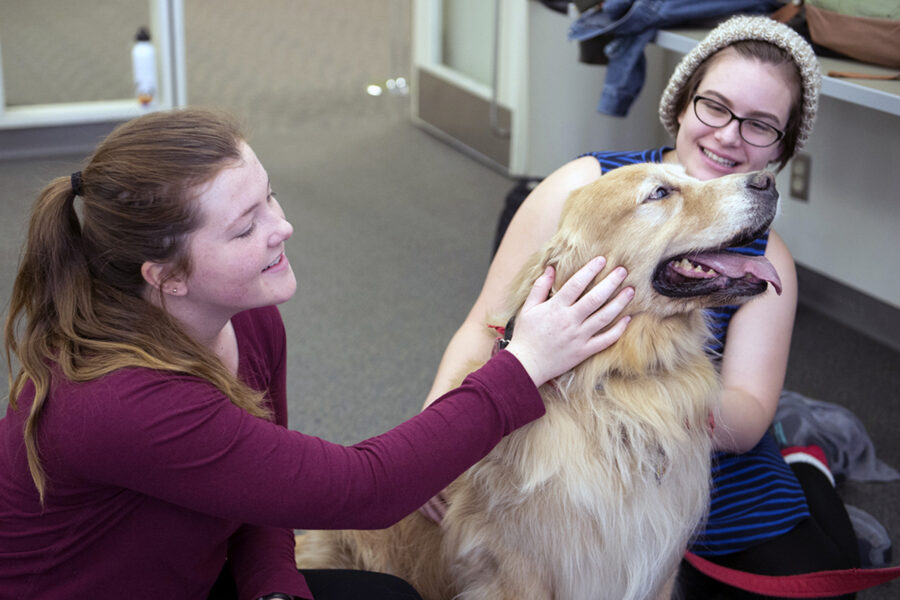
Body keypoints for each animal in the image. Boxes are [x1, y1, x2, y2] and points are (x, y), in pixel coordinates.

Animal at [296, 162, 780, 596]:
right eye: (660, 193)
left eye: (691, 175)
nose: (768, 180)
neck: (614, 383)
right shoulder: (520, 572)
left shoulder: (658, 566)